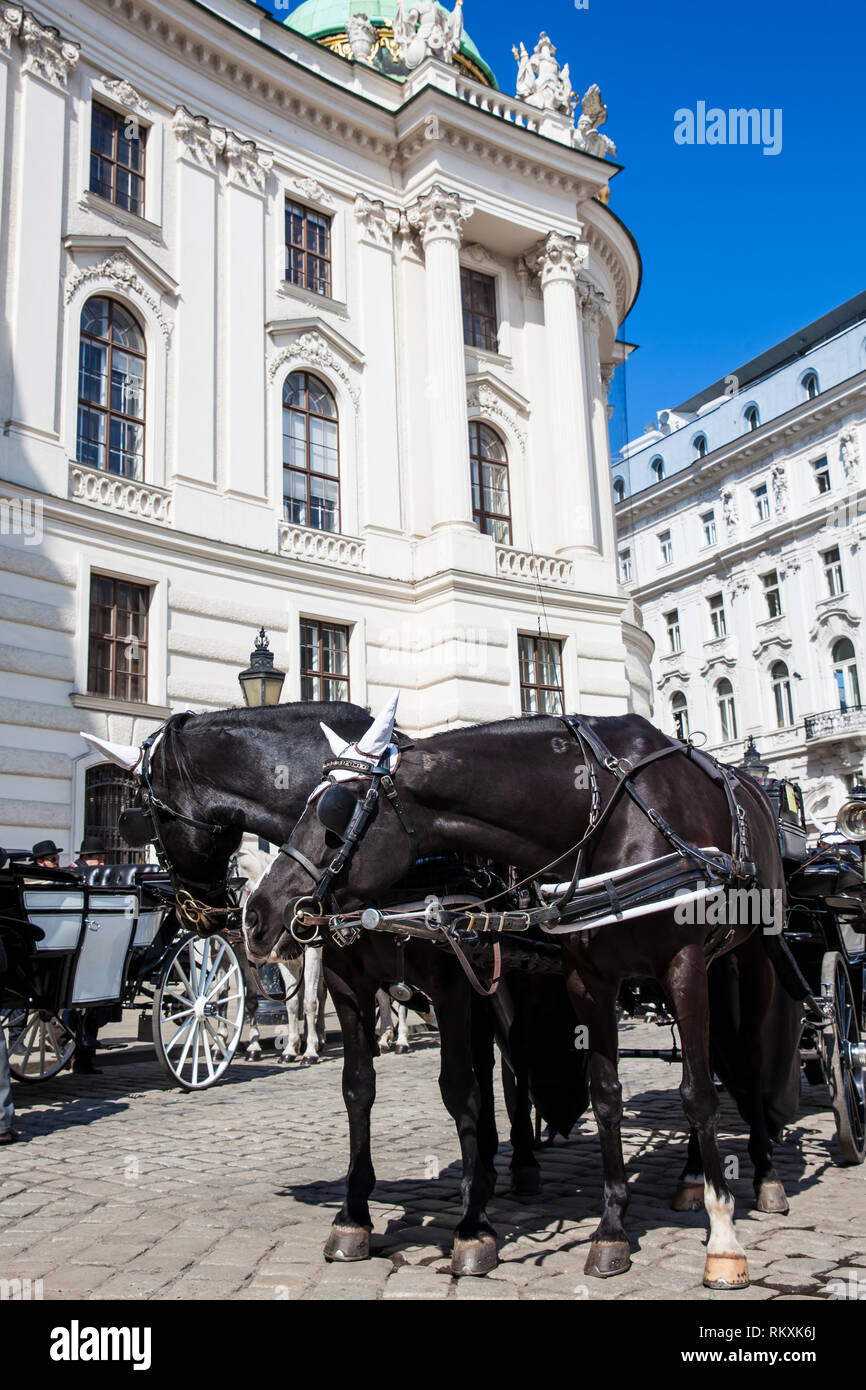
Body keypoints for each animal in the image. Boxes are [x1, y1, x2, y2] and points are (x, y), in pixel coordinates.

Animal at [241, 711, 800, 1284]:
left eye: (336, 810)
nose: (257, 914)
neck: (607, 812)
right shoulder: (586, 980)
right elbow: (605, 1094)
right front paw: (611, 1231)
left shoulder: (679, 965)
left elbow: (697, 1094)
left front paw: (724, 1238)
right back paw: (687, 1177)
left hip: (752, 956)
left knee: (745, 1061)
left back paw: (763, 1177)